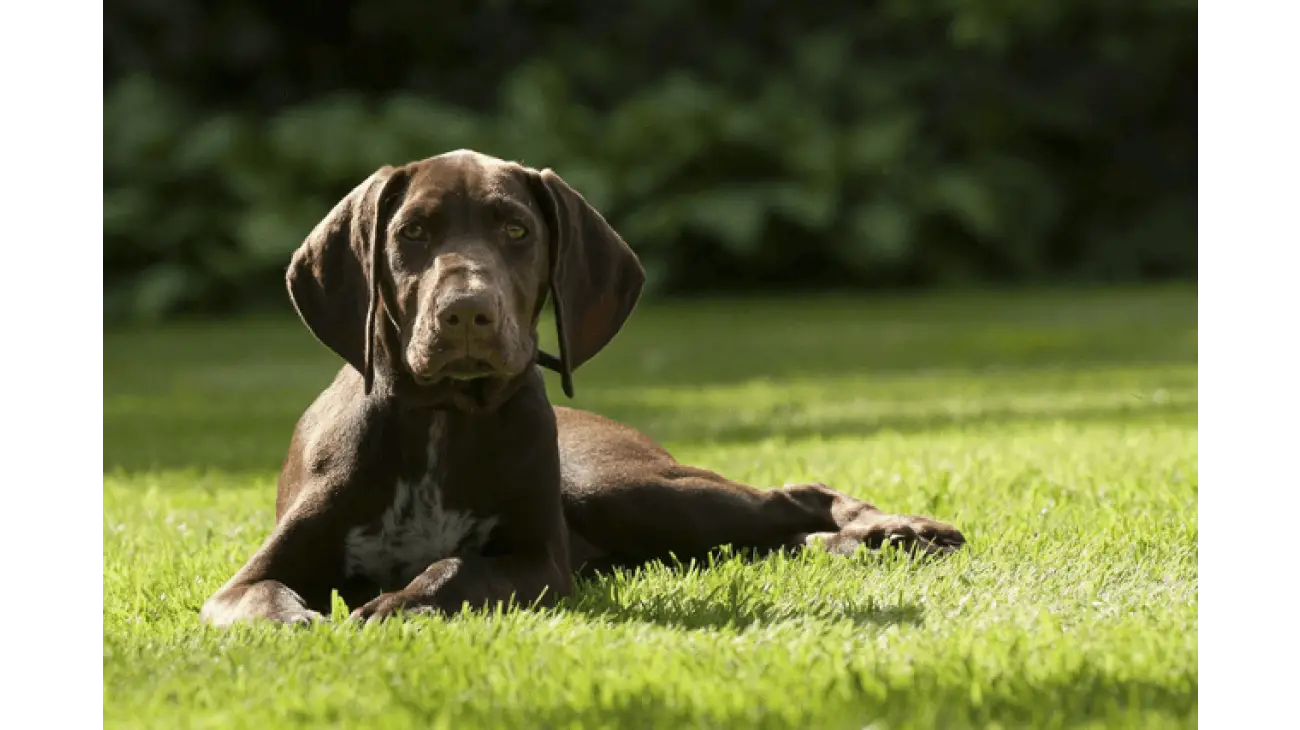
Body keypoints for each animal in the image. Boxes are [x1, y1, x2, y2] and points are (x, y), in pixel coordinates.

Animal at [195, 149, 967, 626]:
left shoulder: (538, 562)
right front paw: (296, 620)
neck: (442, 418)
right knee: (772, 534)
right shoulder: (246, 578)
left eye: (516, 230)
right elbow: (259, 598)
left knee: (792, 496)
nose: (465, 313)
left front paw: (393, 604)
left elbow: (455, 568)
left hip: (622, 489)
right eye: (411, 233)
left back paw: (897, 529)